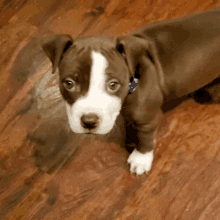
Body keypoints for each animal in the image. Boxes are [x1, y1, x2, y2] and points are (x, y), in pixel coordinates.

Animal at [43, 6, 220, 175]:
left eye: (113, 84)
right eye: (69, 83)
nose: (89, 121)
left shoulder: (148, 119)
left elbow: (145, 138)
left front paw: (141, 158)